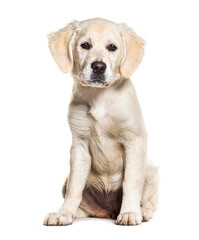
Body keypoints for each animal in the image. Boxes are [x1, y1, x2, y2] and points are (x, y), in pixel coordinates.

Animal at [43, 17, 159, 226]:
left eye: (112, 47)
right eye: (85, 45)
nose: (98, 66)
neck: (100, 97)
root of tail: (108, 211)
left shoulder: (134, 140)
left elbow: (131, 181)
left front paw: (130, 212)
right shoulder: (79, 145)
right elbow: (75, 188)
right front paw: (63, 213)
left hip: (152, 170)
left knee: (149, 202)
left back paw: (142, 212)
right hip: (67, 182)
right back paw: (77, 212)